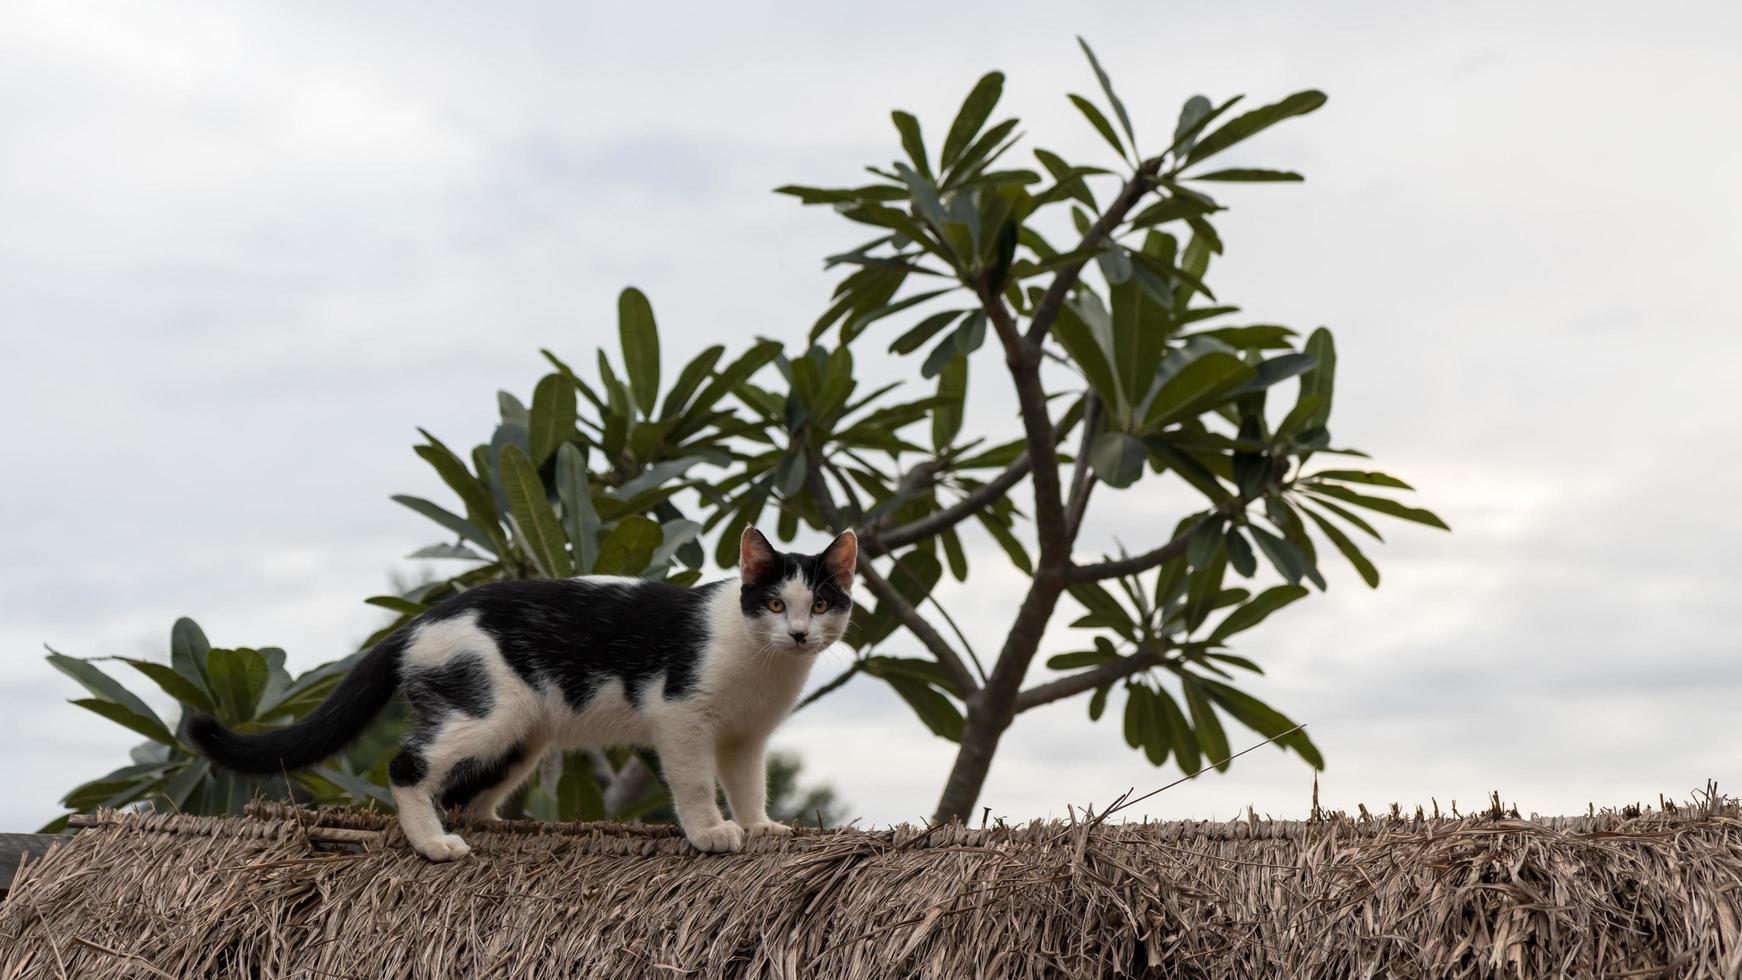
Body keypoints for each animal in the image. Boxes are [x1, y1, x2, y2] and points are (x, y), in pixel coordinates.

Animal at [190, 529, 857, 859]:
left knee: (466, 790)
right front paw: (711, 832)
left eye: (822, 604)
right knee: (406, 765)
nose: (799, 633)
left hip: (522, 734)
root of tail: (419, 620)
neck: (763, 661)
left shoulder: (747, 736)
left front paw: (759, 825)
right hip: (489, 709)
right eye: (775, 604)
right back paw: (433, 843)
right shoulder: (681, 716)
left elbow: (748, 781)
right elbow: (694, 782)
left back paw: (492, 823)